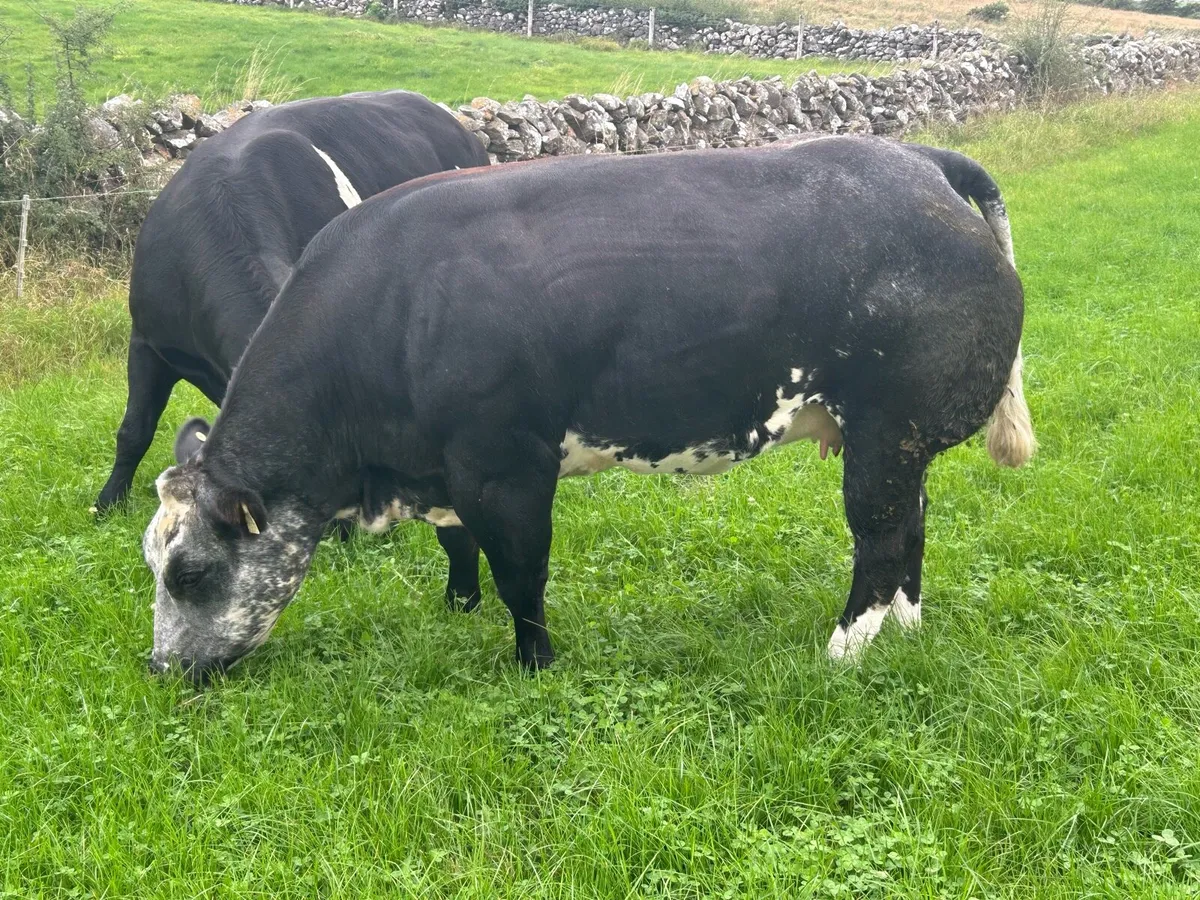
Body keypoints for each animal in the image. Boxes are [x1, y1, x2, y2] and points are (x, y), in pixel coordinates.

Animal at [140, 135, 1035, 684]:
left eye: (188, 572)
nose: (158, 668)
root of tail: (917, 160)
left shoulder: (504, 467)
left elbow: (520, 575)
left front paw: (532, 665)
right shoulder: (448, 471)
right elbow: (465, 553)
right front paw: (461, 612)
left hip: (887, 435)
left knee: (880, 543)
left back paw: (843, 651)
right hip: (896, 445)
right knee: (912, 530)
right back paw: (904, 632)